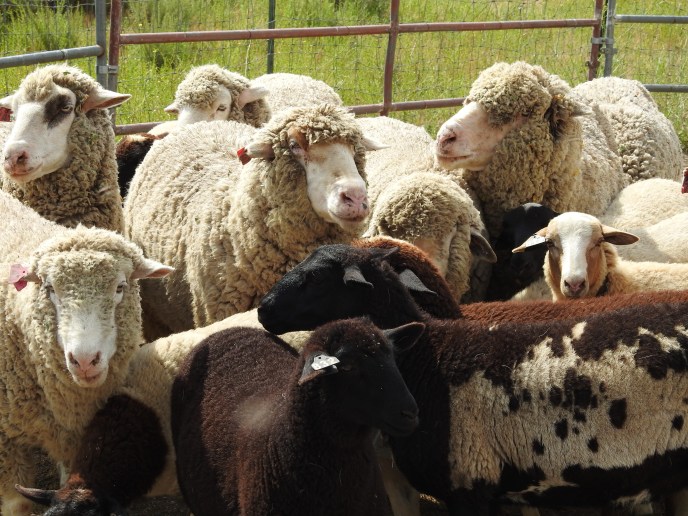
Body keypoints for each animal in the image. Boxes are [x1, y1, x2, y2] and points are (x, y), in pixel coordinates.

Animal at [0, 190, 172, 516]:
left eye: (120, 287)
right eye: (50, 289)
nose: (84, 361)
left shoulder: (76, 436)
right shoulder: (5, 441)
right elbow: (17, 505)